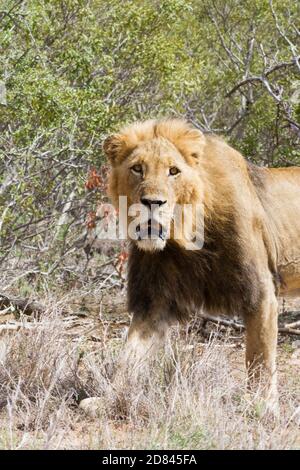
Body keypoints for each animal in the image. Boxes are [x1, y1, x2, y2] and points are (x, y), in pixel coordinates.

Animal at [81, 116, 300, 414]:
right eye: (137, 168)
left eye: (173, 171)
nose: (153, 202)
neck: (184, 235)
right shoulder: (154, 299)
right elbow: (130, 353)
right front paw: (109, 398)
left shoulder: (261, 291)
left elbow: (260, 357)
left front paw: (262, 406)